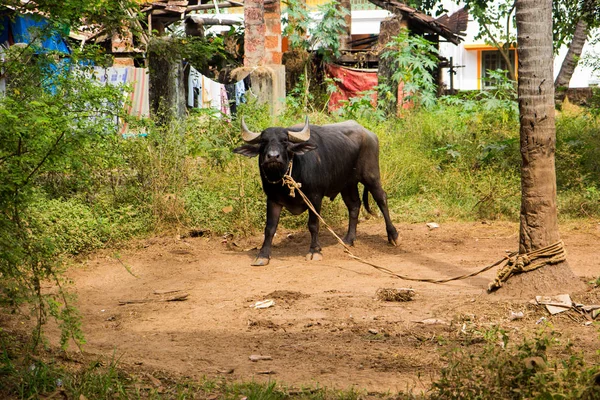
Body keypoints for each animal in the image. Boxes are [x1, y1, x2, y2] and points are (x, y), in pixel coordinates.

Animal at [234, 117, 398, 268]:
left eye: (285, 141)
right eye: (263, 142)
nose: (273, 156)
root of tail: (370, 134)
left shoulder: (315, 197)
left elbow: (313, 225)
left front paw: (315, 251)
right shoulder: (273, 199)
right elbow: (270, 228)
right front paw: (262, 255)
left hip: (371, 175)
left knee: (381, 198)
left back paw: (393, 236)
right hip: (347, 184)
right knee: (354, 205)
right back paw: (348, 239)